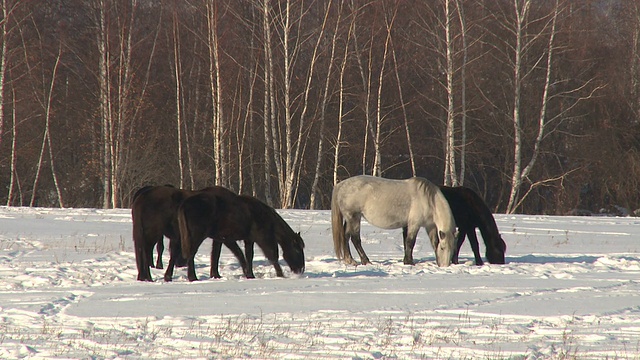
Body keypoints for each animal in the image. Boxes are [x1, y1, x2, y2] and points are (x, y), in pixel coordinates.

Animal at [171, 191, 306, 282]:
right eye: (297, 250)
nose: (301, 269)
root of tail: (184, 204)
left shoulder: (240, 239)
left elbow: (244, 256)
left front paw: (248, 274)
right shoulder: (262, 238)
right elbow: (272, 256)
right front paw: (280, 274)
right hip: (196, 235)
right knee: (191, 254)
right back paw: (192, 277)